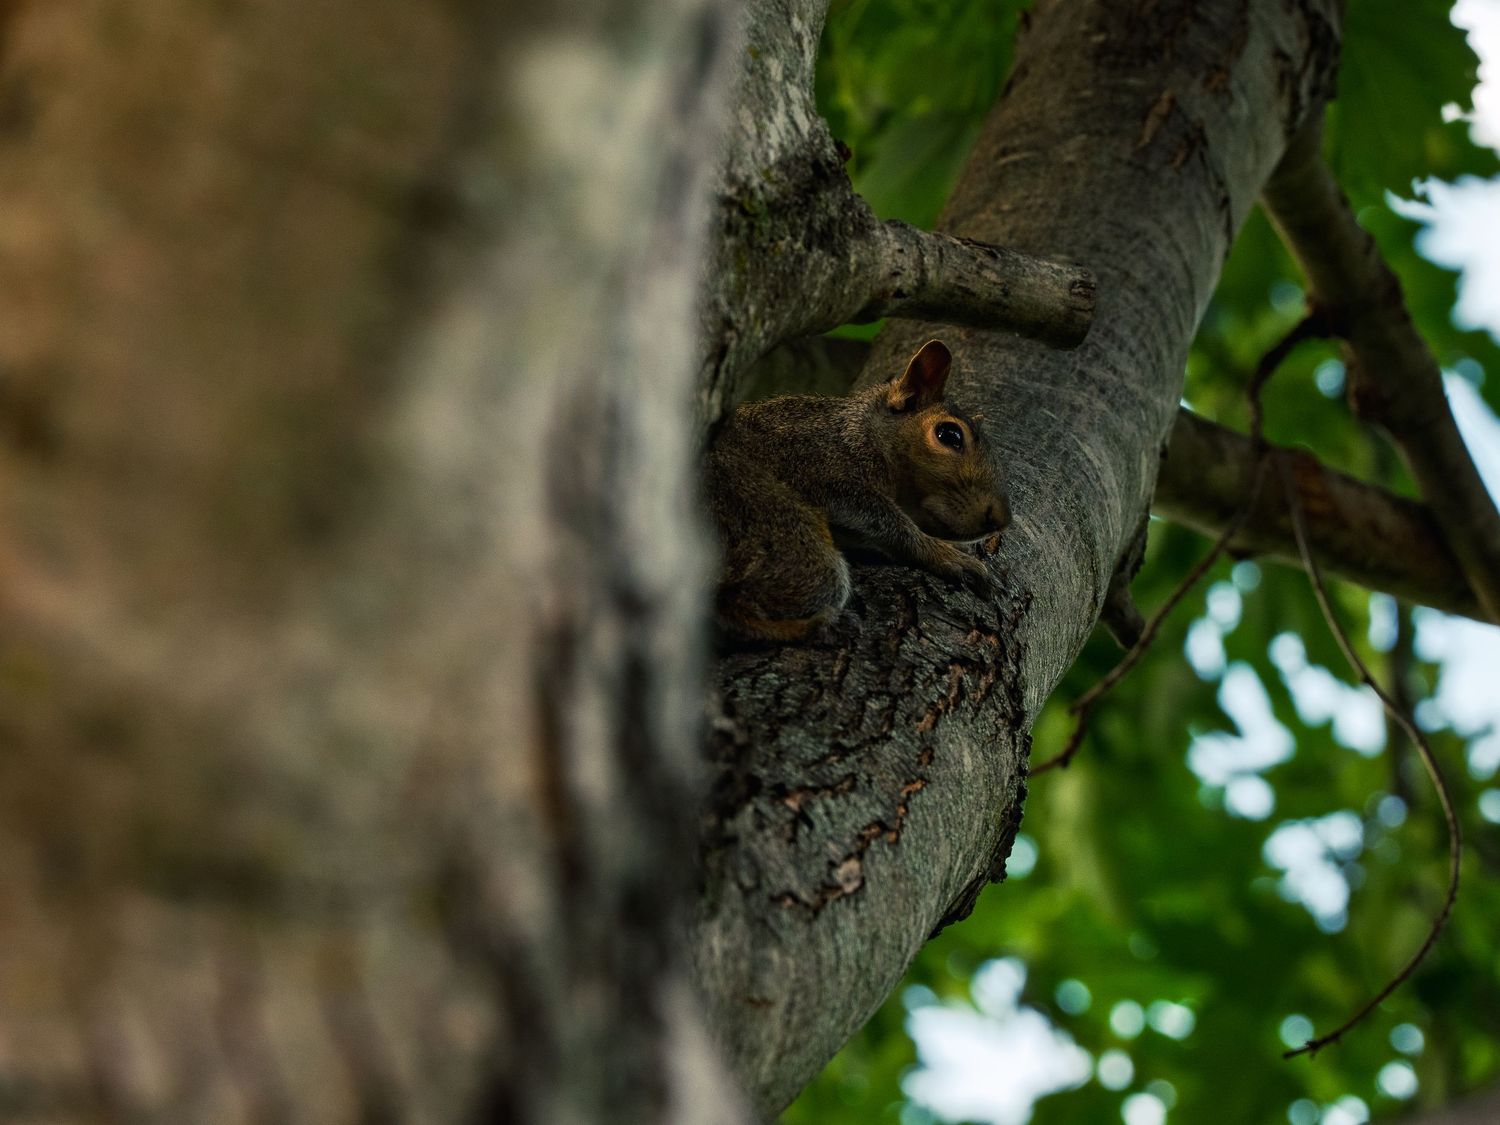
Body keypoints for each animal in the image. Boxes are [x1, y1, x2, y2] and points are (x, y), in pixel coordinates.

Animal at [706, 339, 1010, 642]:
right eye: (949, 435)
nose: (1001, 519)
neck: (859, 434)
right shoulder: (817, 466)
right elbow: (889, 523)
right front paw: (945, 554)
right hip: (766, 521)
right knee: (731, 602)